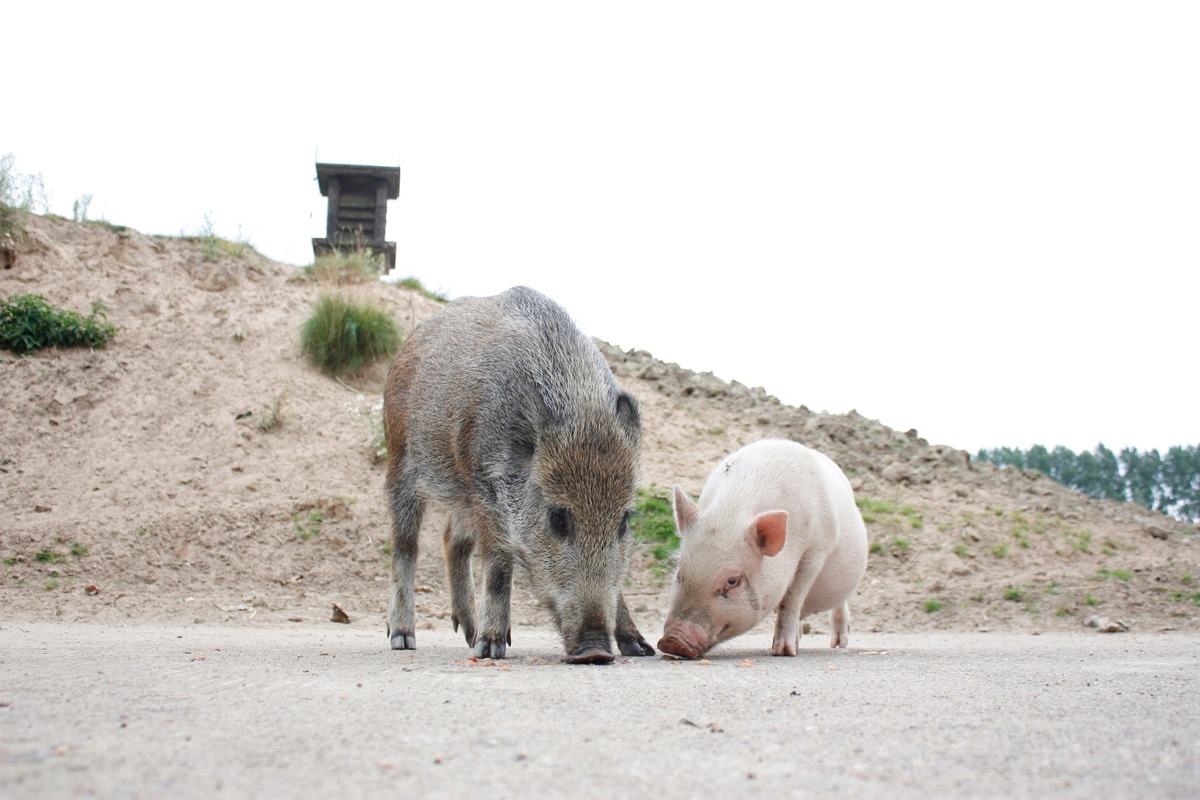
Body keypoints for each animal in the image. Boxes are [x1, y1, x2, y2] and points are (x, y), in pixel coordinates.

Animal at [662, 441, 868, 662]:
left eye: (733, 581)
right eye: (680, 573)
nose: (673, 642)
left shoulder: (816, 550)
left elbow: (792, 599)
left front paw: (784, 653)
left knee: (840, 603)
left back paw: (838, 645)